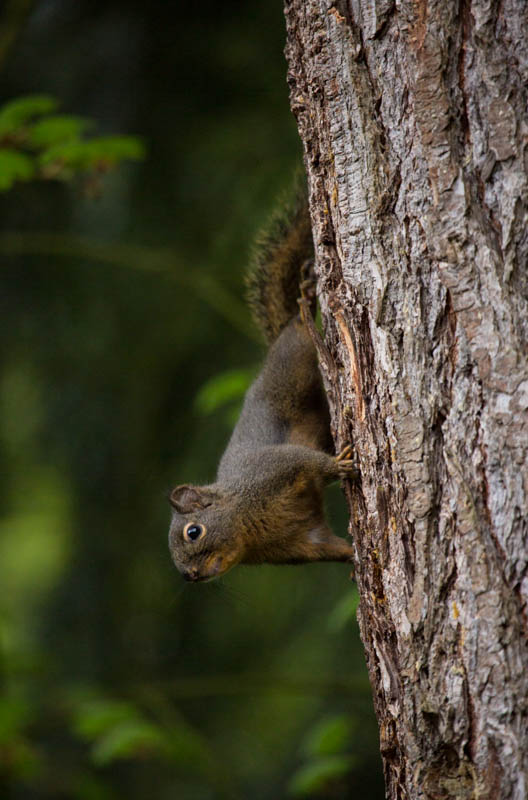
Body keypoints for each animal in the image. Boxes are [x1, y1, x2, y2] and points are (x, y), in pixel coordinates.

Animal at [169, 187, 358, 580]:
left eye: (193, 532)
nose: (190, 575)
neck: (246, 519)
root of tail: (275, 344)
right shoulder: (300, 543)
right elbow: (329, 547)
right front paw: (357, 562)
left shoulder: (274, 469)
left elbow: (307, 462)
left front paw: (339, 466)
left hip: (294, 362)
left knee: (300, 326)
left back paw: (305, 299)